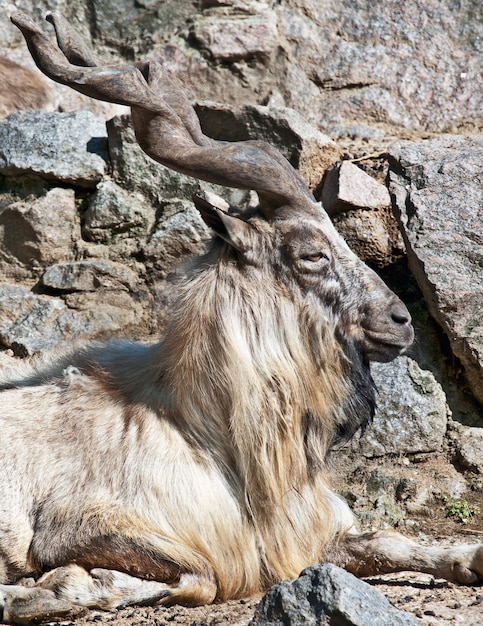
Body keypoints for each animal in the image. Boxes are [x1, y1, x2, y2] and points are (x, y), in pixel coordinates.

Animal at [0, 12, 483, 620]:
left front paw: (473, 557)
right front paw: (44, 590)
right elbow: (198, 576)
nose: (400, 321)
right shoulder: (73, 523)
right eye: (312, 254)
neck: (200, 427)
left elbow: (388, 541)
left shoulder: (301, 535)